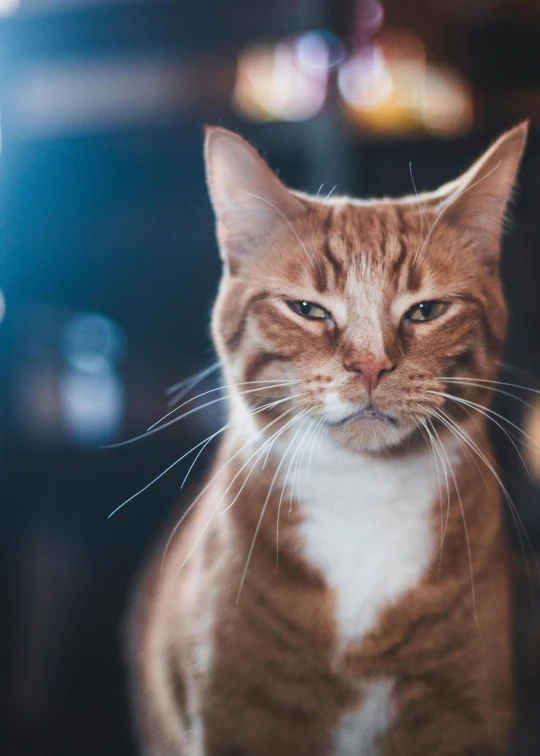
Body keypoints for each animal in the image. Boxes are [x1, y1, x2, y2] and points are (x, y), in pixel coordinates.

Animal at [130, 124, 528, 756]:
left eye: (426, 311)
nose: (370, 366)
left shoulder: (463, 711)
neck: (363, 493)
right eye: (308, 310)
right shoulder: (238, 716)